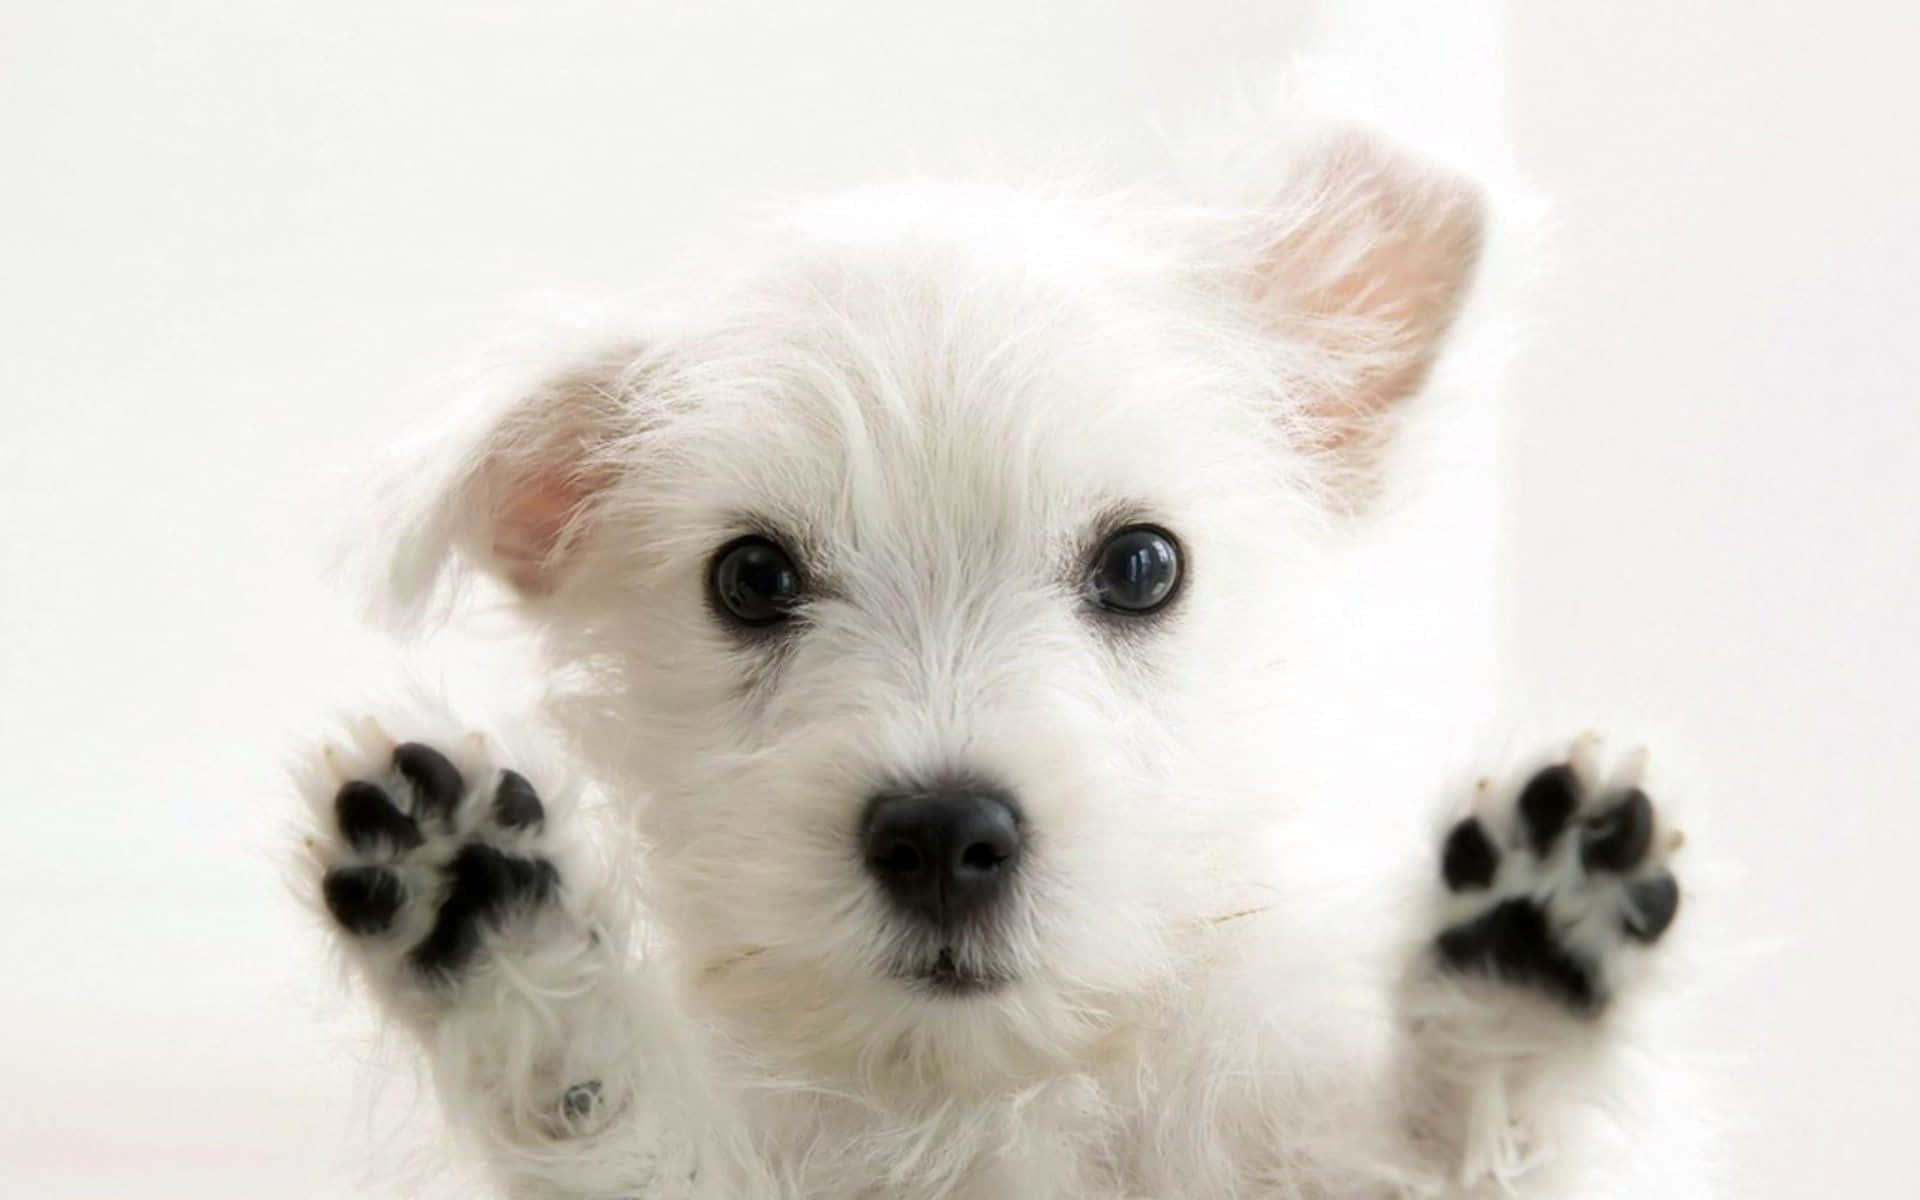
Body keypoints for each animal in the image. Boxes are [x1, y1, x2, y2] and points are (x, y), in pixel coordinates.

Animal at [295, 105, 1697, 1198]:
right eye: (751, 579)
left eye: (1142, 566)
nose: (941, 835)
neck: (983, 1097)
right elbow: (612, 1126)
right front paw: (496, 927)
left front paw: (1512, 984)